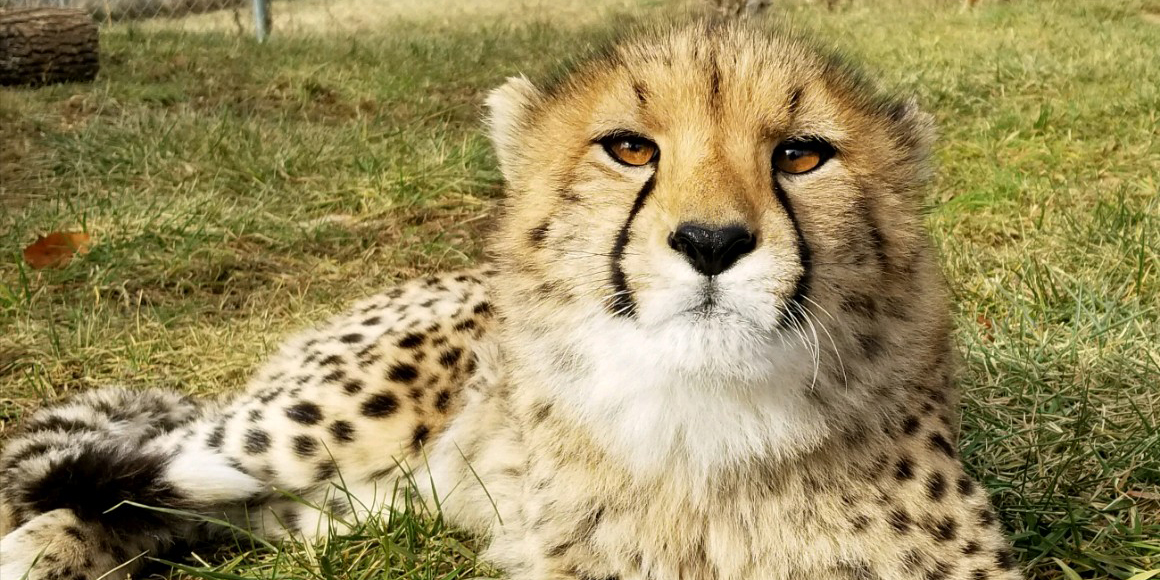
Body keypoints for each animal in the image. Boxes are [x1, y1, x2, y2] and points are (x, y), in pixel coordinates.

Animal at [0, 21, 1020, 580]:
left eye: (802, 155)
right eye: (630, 149)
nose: (711, 243)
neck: (703, 421)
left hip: (346, 508)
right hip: (322, 422)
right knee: (107, 463)